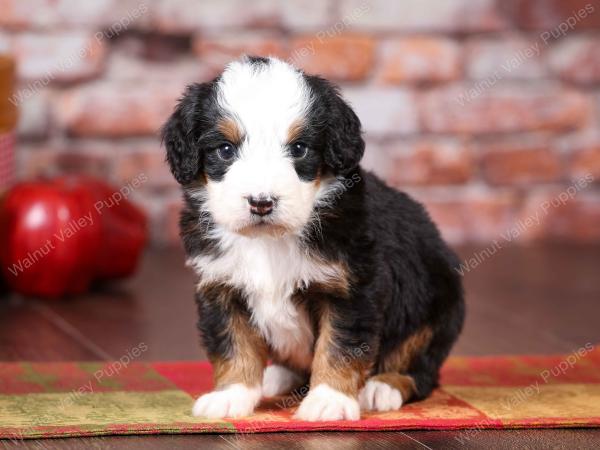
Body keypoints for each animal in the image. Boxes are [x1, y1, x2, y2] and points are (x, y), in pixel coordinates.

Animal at [163, 56, 464, 422]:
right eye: (225, 150)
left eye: (299, 148)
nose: (261, 202)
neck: (270, 240)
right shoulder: (221, 286)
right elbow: (233, 343)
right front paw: (231, 395)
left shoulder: (352, 288)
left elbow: (339, 345)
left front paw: (329, 400)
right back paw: (276, 376)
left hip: (435, 310)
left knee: (421, 370)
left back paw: (383, 387)